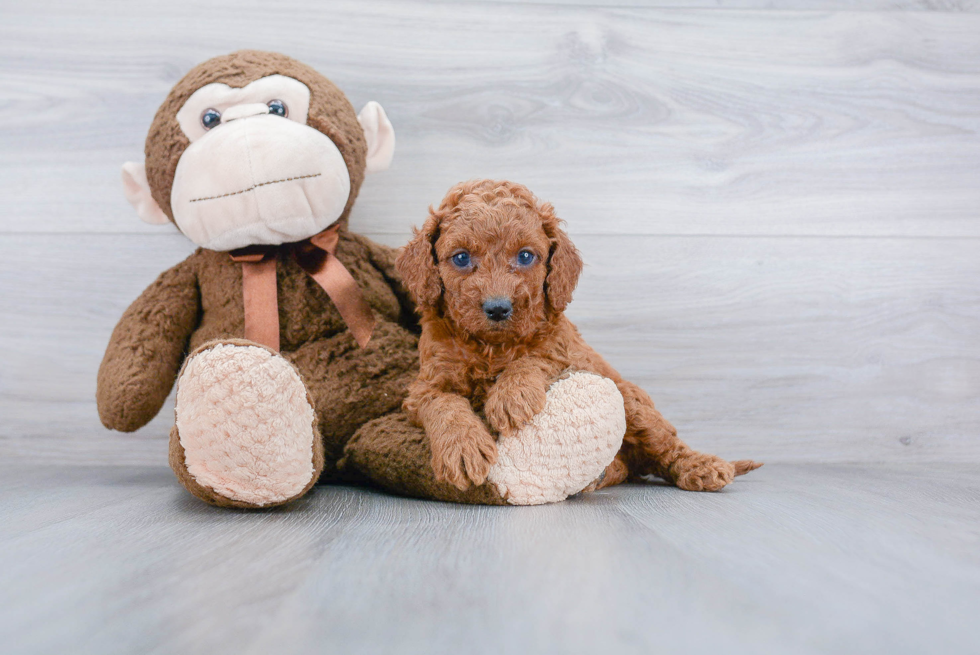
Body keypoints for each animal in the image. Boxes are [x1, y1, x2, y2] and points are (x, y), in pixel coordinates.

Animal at [394, 179, 760, 492]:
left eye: (525, 256)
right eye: (461, 258)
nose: (498, 308)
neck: (493, 348)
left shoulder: (570, 354)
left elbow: (537, 357)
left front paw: (511, 395)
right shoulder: (425, 386)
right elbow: (445, 405)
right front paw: (463, 449)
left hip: (632, 401)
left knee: (666, 446)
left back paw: (702, 466)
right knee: (629, 466)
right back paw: (603, 474)